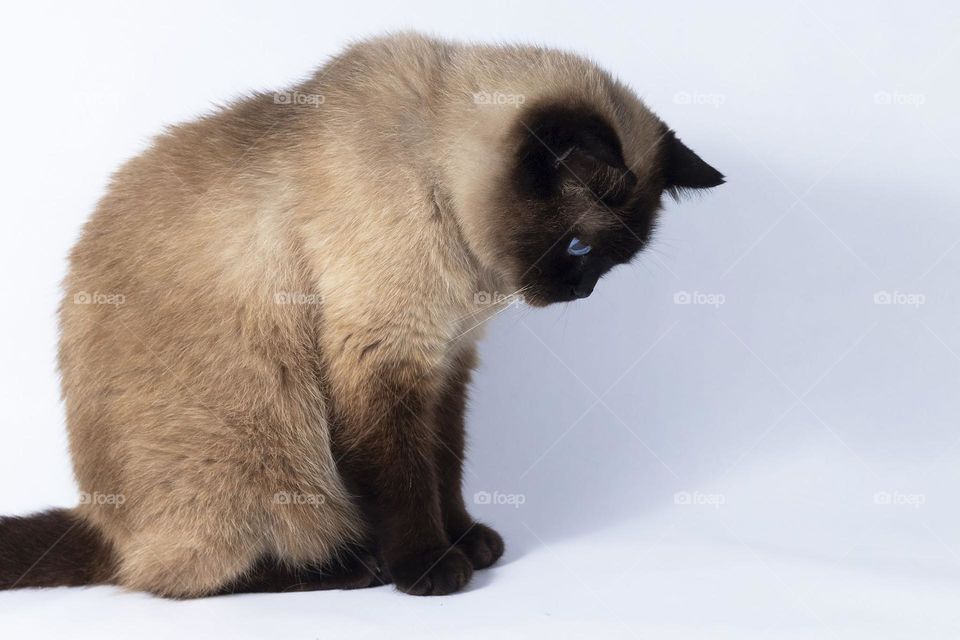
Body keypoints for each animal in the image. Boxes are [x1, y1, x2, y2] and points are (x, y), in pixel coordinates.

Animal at [0, 30, 720, 596]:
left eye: (613, 262)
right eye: (578, 247)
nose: (579, 294)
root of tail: (98, 521)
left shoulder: (446, 363)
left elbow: (445, 463)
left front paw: (466, 540)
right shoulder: (383, 356)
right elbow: (403, 475)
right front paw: (432, 566)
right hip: (267, 448)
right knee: (177, 578)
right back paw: (354, 566)